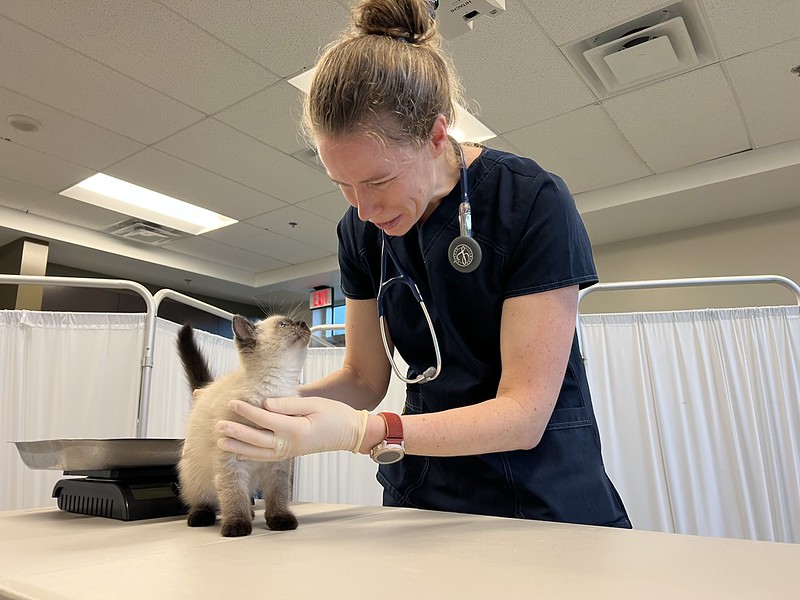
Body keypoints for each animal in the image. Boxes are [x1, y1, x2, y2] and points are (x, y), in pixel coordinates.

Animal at [177, 316, 310, 536]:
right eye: (284, 325)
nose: (303, 323)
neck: (277, 389)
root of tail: (204, 391)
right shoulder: (231, 463)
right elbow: (233, 495)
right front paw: (237, 526)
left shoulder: (279, 463)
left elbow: (278, 495)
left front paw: (280, 520)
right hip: (198, 475)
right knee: (203, 499)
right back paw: (201, 517)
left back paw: (251, 513)